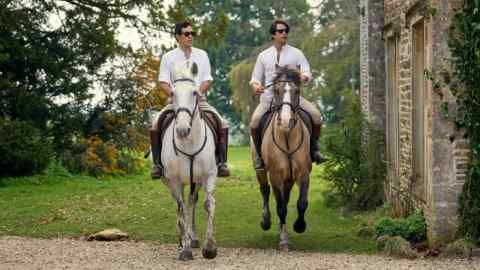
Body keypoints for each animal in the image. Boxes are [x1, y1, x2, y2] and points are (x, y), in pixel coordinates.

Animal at [159, 60, 218, 260]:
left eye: (194, 93)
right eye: (172, 93)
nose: (183, 130)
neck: (189, 142)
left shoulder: (209, 176)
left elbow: (208, 205)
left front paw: (210, 248)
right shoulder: (175, 180)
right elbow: (181, 208)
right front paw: (184, 250)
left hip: (195, 181)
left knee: (192, 200)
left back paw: (193, 238)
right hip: (170, 181)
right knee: (181, 206)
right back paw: (182, 240)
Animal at [253, 65, 314, 251]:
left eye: (296, 91)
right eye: (277, 90)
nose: (286, 121)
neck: (286, 136)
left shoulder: (303, 174)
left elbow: (301, 203)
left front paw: (299, 226)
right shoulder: (275, 176)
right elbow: (280, 207)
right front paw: (284, 240)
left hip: (289, 178)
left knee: (285, 198)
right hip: (262, 171)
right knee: (265, 190)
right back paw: (266, 221)